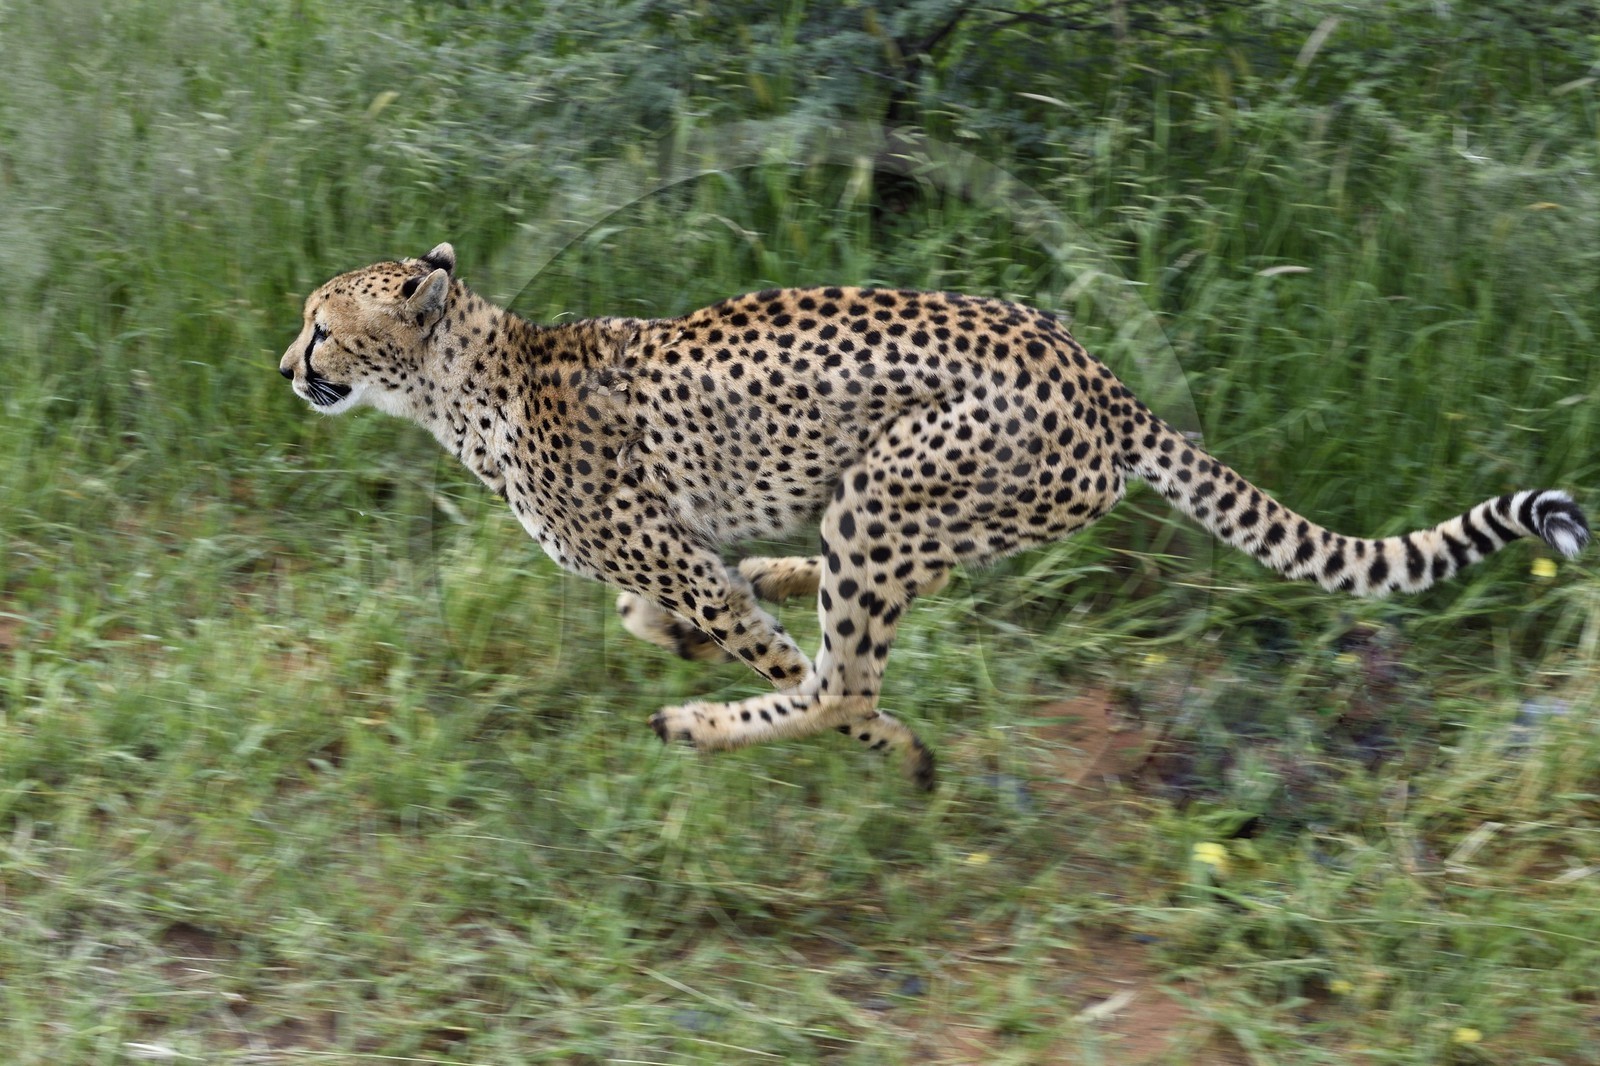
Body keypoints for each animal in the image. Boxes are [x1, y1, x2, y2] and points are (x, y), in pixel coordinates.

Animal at [280, 243, 1590, 790]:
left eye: (323, 325)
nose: (287, 365)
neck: (470, 379)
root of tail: (1100, 376)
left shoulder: (679, 558)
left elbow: (783, 662)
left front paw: (881, 742)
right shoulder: (680, 558)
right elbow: (667, 610)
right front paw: (687, 631)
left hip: (889, 487)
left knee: (842, 669)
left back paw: (727, 724)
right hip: (919, 501)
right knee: (888, 593)